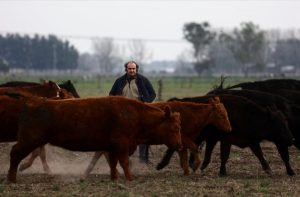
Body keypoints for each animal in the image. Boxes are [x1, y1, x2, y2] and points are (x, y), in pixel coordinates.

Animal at [5, 96, 182, 182]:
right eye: (175, 128)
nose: (179, 145)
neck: (136, 115)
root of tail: (31, 103)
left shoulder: (112, 147)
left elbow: (113, 163)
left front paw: (114, 178)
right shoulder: (122, 144)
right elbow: (124, 162)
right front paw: (130, 178)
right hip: (28, 141)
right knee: (15, 154)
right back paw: (11, 179)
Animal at [83, 96, 231, 175]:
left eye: (226, 113)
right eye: (221, 114)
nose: (229, 129)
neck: (190, 114)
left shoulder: (180, 141)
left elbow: (183, 154)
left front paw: (186, 171)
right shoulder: (184, 137)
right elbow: (193, 148)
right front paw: (194, 166)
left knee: (101, 152)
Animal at [158, 94, 294, 176]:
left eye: (286, 123)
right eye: (280, 125)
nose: (291, 139)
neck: (247, 115)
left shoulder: (251, 141)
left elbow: (260, 154)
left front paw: (268, 170)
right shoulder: (226, 139)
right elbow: (224, 155)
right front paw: (222, 171)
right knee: (174, 148)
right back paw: (162, 165)